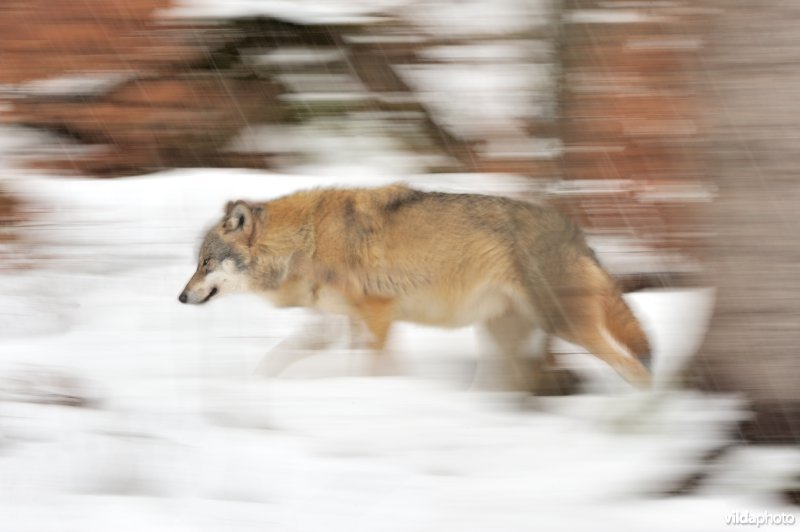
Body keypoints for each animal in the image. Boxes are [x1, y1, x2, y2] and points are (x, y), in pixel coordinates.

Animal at [178, 183, 652, 389]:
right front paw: (257, 383)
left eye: (204, 263)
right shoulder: (347, 323)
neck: (304, 241)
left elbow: (369, 368)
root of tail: (575, 232)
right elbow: (281, 357)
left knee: (634, 368)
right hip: (502, 333)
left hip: (566, 326)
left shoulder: (378, 315)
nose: (181, 297)